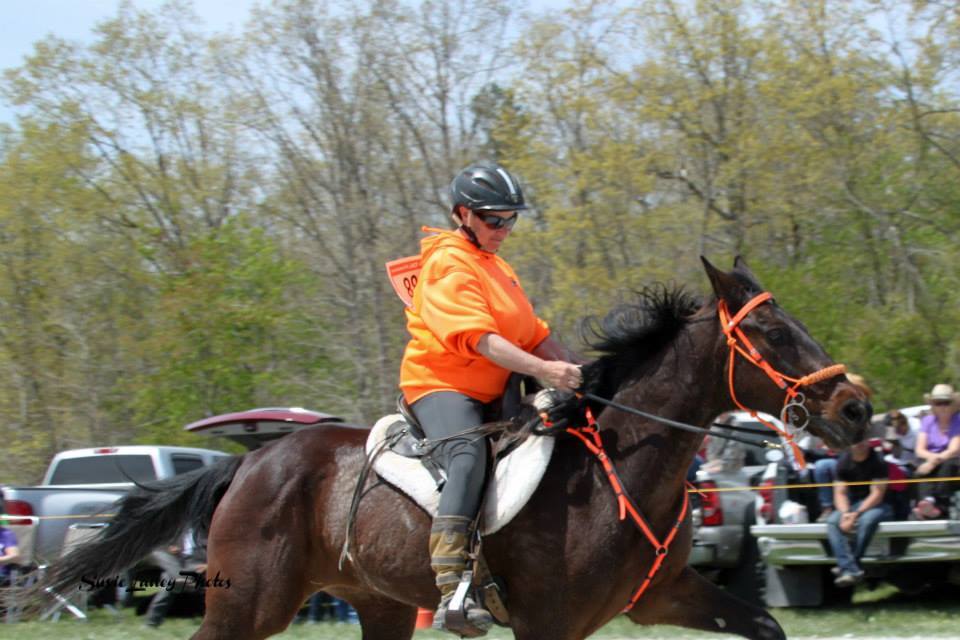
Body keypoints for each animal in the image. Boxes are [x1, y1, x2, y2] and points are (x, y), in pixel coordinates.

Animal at [45, 257, 870, 640]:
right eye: (770, 332)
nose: (857, 408)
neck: (622, 471)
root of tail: (251, 460)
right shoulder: (548, 625)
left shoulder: (666, 598)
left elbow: (765, 623)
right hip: (250, 603)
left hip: (374, 603)